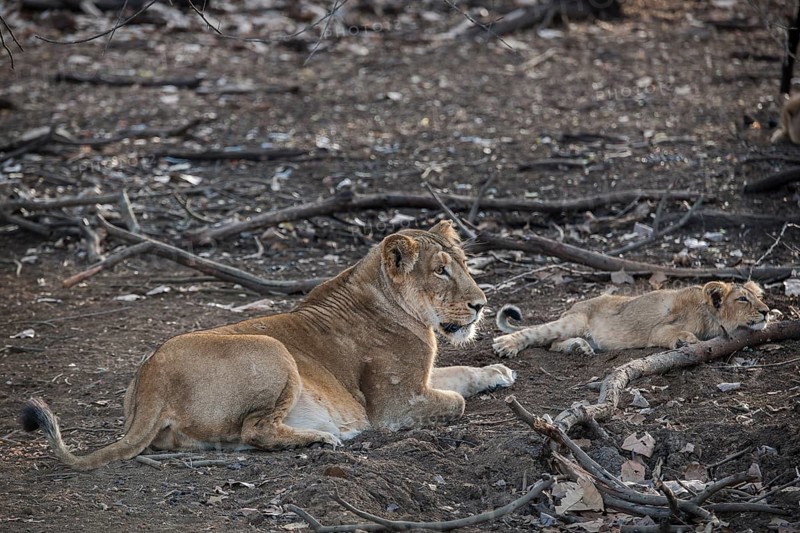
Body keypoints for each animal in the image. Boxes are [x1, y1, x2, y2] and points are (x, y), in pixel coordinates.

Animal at [21, 221, 516, 471]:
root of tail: (152, 378)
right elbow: (455, 400)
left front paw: (498, 372)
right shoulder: (395, 405)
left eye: (464, 264)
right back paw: (325, 437)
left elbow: (460, 375)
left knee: (228, 439)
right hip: (272, 349)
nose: (481, 305)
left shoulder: (422, 378)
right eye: (440, 271)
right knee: (255, 429)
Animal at [492, 281, 770, 357]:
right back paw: (506, 345)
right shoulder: (658, 331)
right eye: (742, 299)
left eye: (757, 298)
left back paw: (580, 348)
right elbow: (675, 334)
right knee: (541, 336)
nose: (766, 310)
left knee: (553, 344)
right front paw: (685, 341)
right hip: (574, 321)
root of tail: (571, 307)